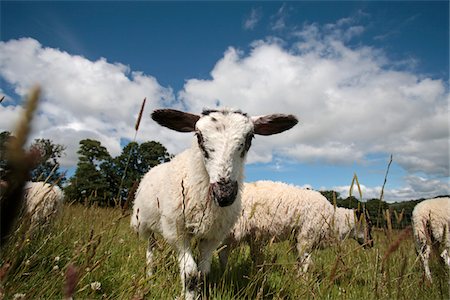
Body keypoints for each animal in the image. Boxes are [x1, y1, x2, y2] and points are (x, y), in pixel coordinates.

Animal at [130, 107, 298, 298]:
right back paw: (150, 276)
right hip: (145, 224)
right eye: (198, 136)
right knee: (150, 250)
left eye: (250, 138)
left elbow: (202, 273)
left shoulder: (212, 236)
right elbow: (190, 274)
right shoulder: (177, 232)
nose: (224, 194)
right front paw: (188, 296)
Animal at [221, 180, 372, 274]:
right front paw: (302, 280)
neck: (334, 220)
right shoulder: (306, 236)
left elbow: (299, 260)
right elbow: (305, 261)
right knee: (222, 253)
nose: (371, 244)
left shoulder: (296, 238)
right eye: (368, 226)